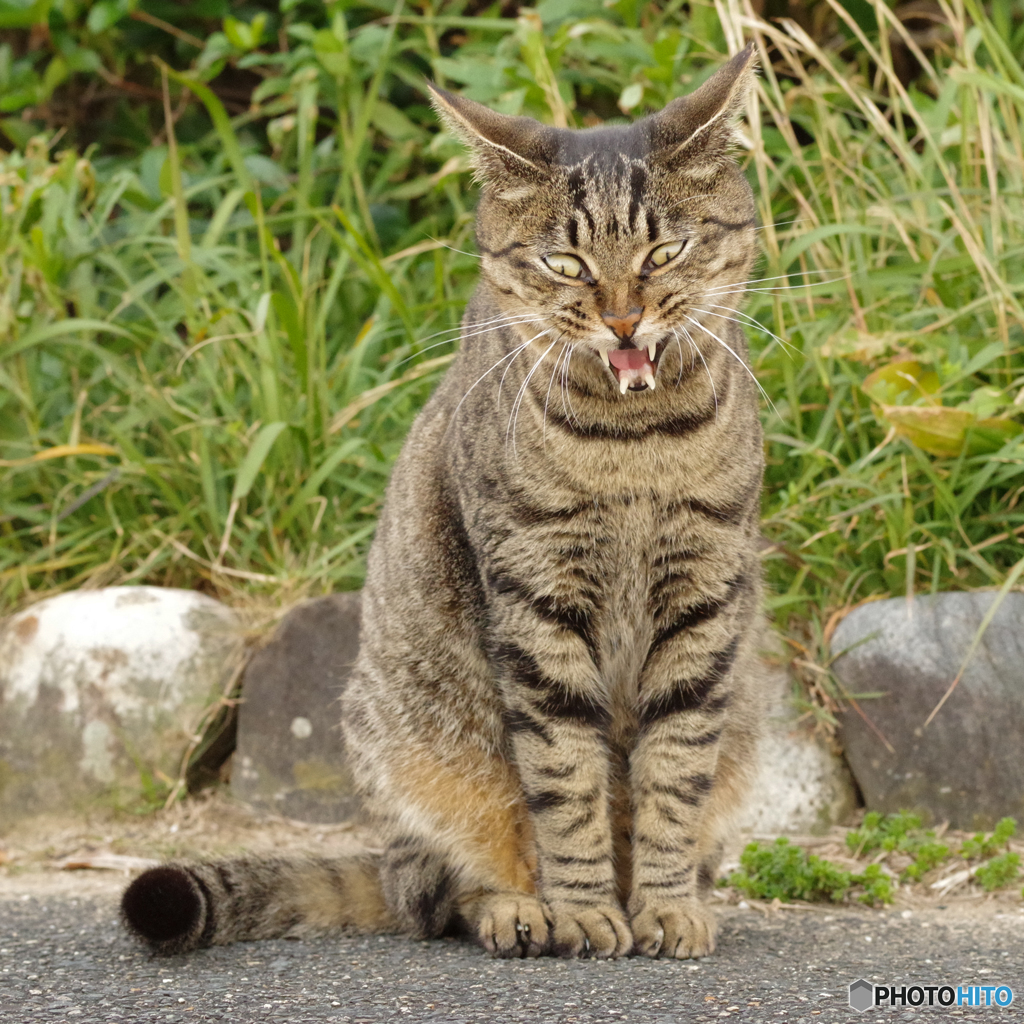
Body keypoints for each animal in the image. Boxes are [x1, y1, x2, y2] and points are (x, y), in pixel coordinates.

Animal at [119, 44, 770, 958]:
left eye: (664, 252)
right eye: (566, 265)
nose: (622, 321)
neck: (635, 442)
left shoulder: (705, 595)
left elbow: (674, 773)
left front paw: (666, 904)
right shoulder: (535, 595)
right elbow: (565, 780)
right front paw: (583, 909)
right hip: (408, 751)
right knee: (442, 889)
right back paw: (517, 910)